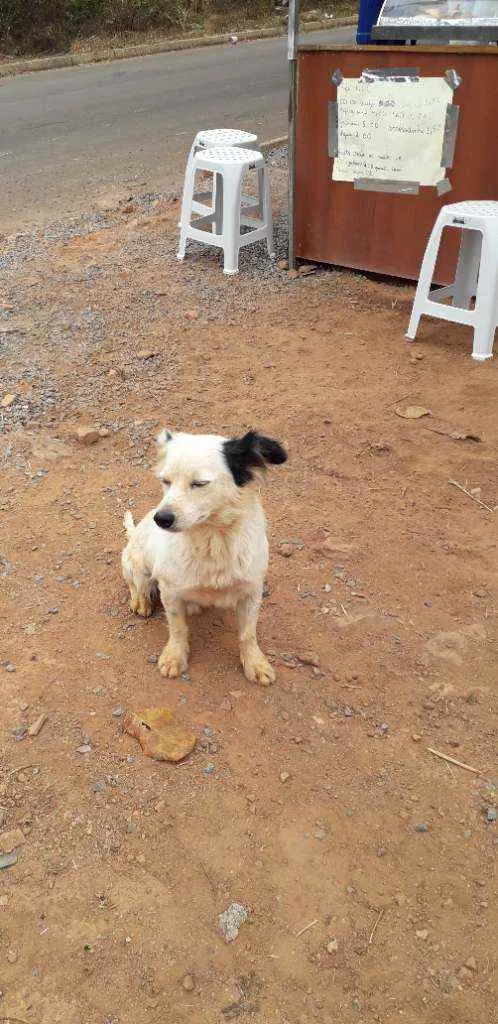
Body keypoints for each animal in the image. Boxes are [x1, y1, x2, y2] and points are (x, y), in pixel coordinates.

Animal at [121, 428, 286, 684]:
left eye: (199, 484)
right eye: (165, 481)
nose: (161, 519)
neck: (212, 541)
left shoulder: (252, 591)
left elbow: (248, 634)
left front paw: (255, 663)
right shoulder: (170, 591)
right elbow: (178, 629)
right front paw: (174, 657)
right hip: (135, 563)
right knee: (136, 584)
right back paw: (142, 601)